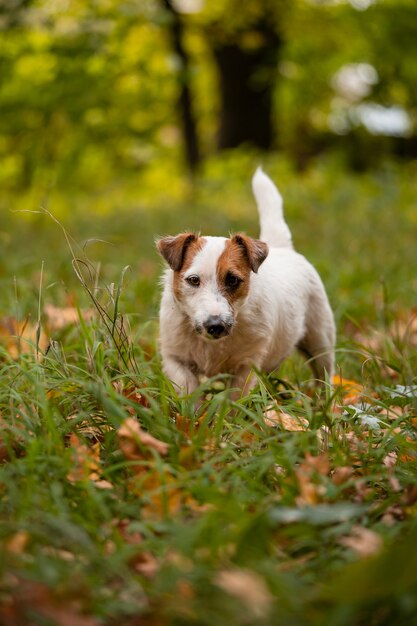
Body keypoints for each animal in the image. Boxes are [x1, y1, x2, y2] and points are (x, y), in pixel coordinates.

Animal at [156, 168, 334, 392]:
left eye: (232, 280)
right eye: (193, 280)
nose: (215, 325)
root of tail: (282, 248)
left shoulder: (247, 365)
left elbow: (237, 396)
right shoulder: (175, 358)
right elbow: (187, 389)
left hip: (320, 340)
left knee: (324, 373)